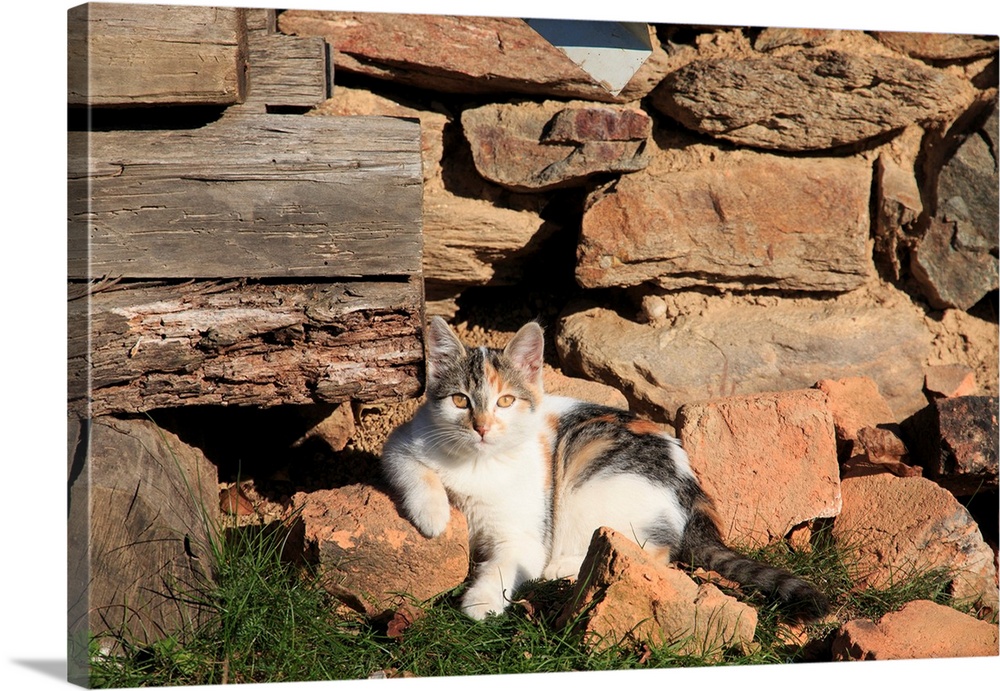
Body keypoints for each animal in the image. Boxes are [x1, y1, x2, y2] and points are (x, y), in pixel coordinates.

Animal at [378, 316, 824, 624]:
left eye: (505, 401)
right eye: (460, 400)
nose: (482, 428)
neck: (479, 463)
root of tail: (691, 489)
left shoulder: (528, 535)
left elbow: (509, 562)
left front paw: (481, 601)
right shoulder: (403, 439)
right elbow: (409, 466)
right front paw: (433, 515)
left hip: (591, 483)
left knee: (654, 552)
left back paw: (565, 567)